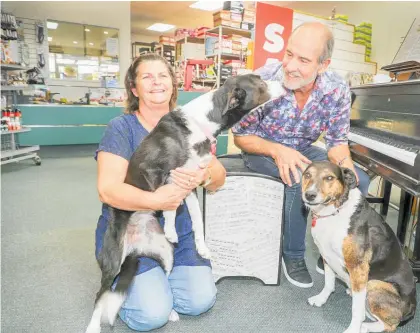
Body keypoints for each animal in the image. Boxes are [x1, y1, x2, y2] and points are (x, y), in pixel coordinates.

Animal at [302, 161, 416, 332]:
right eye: (307, 175)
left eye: (329, 178)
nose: (309, 195)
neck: (334, 212)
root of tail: (412, 310)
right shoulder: (326, 256)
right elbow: (329, 283)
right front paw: (321, 299)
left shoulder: (358, 267)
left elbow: (356, 309)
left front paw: (353, 328)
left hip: (373, 284)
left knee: (390, 325)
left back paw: (364, 326)